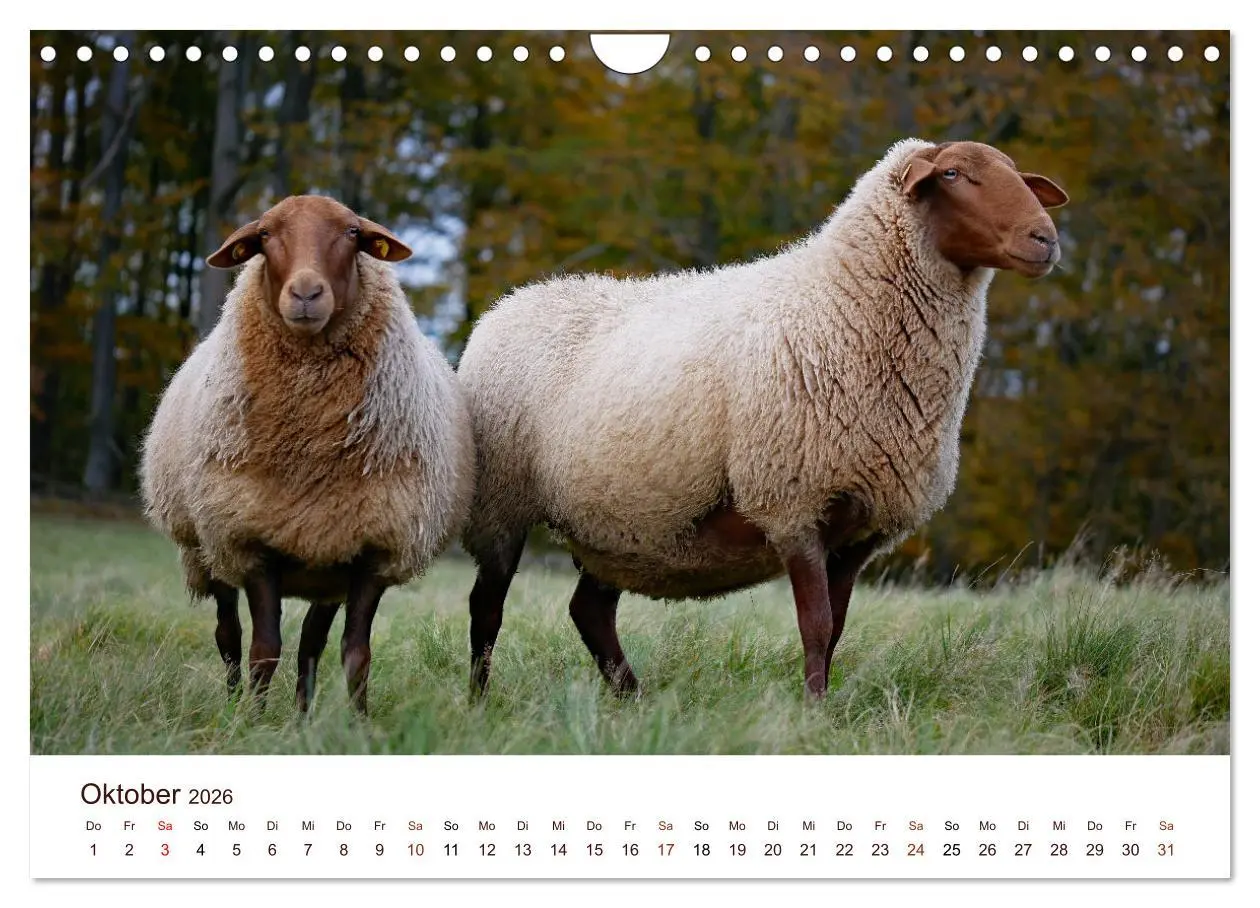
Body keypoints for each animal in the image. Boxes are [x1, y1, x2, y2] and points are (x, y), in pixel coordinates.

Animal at [140, 195, 475, 714]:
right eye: (264, 235)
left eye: (353, 233)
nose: (305, 293)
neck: (310, 451)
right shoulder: (250, 541)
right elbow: (263, 649)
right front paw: (252, 721)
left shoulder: (372, 549)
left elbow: (355, 653)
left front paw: (358, 722)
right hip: (208, 547)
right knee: (228, 633)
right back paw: (234, 702)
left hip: (326, 563)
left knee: (311, 646)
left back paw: (301, 715)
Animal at [458, 139, 1068, 698]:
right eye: (952, 174)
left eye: (1018, 175)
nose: (1046, 239)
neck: (841, 302)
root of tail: (510, 302)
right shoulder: (793, 501)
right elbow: (816, 627)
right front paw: (814, 716)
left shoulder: (859, 529)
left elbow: (836, 630)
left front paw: (823, 706)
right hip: (503, 504)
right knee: (487, 607)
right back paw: (481, 701)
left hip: (614, 525)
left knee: (589, 611)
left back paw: (632, 700)